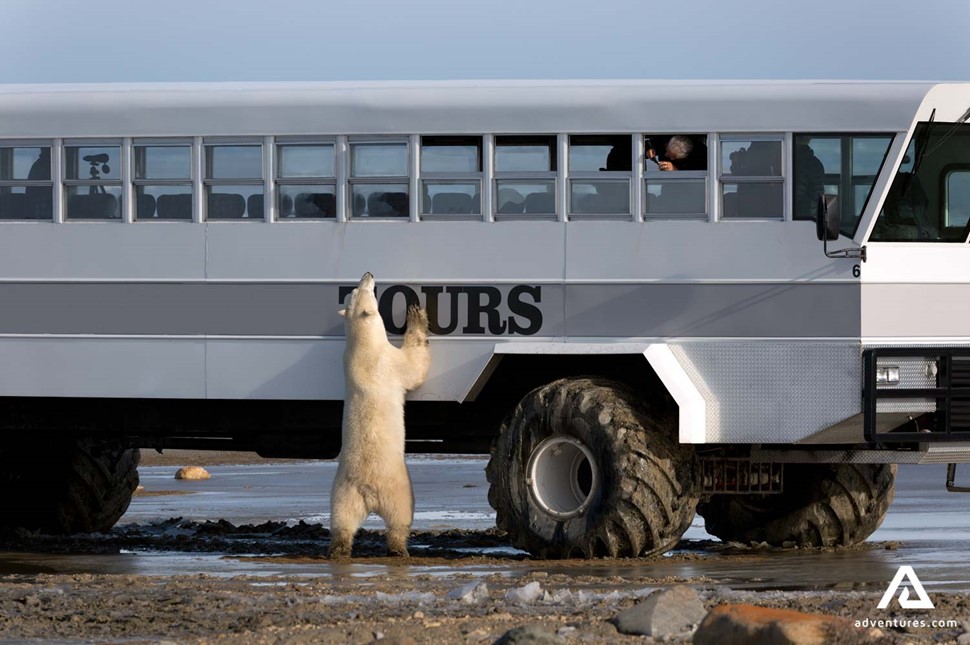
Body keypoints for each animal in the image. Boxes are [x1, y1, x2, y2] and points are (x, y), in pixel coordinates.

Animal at [328, 272, 430, 560]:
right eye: (360, 290)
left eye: (352, 290)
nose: (368, 274)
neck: (362, 346)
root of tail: (368, 491)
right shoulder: (387, 362)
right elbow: (414, 366)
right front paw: (415, 315)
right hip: (397, 486)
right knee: (400, 516)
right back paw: (398, 548)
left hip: (343, 492)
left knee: (342, 519)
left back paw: (338, 548)